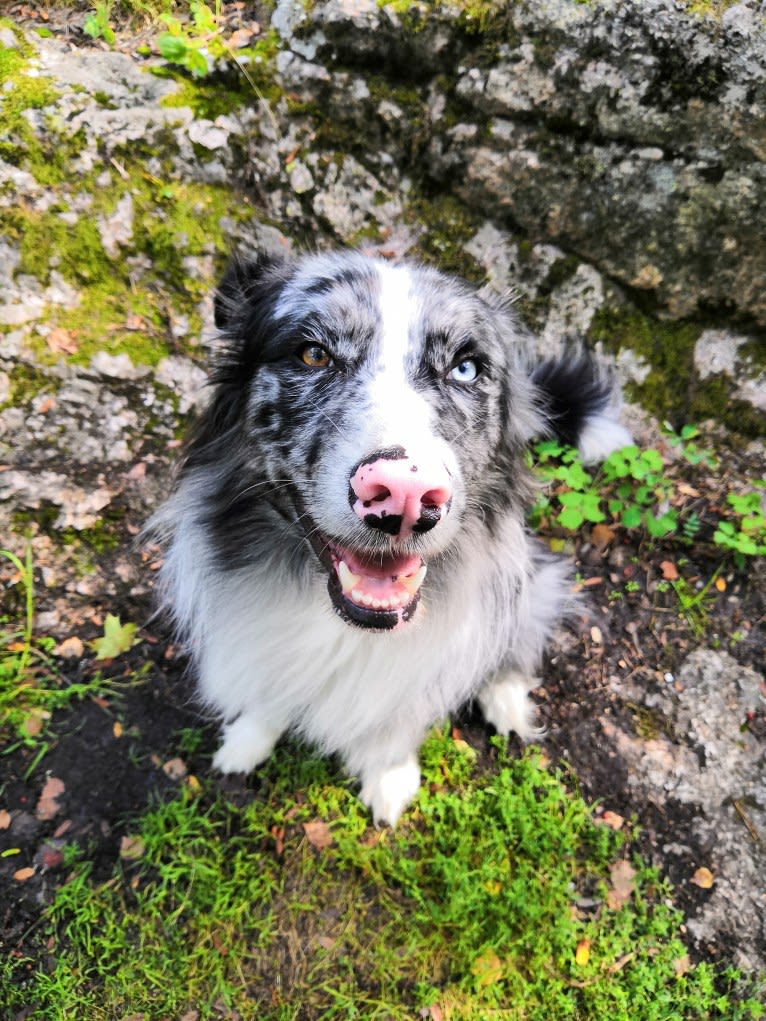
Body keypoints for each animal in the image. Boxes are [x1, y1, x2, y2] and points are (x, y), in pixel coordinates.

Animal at [151, 251, 637, 824]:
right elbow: (268, 688)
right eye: (313, 353)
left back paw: (507, 701)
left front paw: (388, 777)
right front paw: (249, 740)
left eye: (466, 367)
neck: (344, 624)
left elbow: (401, 718)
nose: (405, 496)